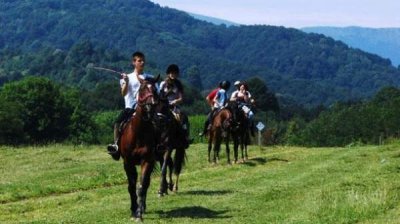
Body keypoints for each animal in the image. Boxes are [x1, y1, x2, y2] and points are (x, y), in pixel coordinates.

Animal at [118, 76, 159, 221]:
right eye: (142, 89)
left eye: (155, 89)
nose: (151, 106)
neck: (139, 131)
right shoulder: (128, 162)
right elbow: (131, 187)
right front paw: (133, 210)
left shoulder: (147, 161)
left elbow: (141, 187)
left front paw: (139, 213)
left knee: (146, 184)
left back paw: (143, 207)